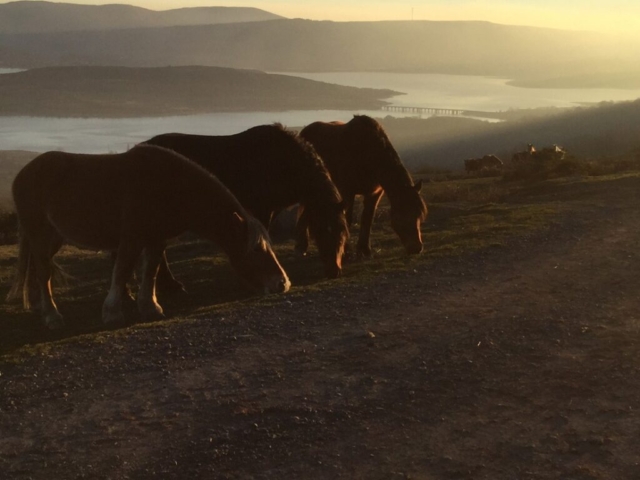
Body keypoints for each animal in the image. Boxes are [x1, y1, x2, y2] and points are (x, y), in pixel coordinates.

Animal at [4, 144, 290, 328]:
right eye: (256, 249)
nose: (283, 283)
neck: (168, 185)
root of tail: (22, 175)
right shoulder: (132, 238)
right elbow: (121, 271)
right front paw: (112, 313)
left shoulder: (155, 240)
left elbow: (150, 271)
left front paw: (150, 307)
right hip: (40, 235)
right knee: (44, 272)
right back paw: (52, 316)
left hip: (53, 238)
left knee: (39, 269)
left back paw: (41, 306)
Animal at [144, 123, 350, 282]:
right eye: (321, 232)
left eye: (342, 232)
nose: (334, 271)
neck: (283, 161)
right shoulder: (262, 209)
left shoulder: (273, 209)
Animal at [298, 115, 428, 256]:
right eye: (404, 214)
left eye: (419, 215)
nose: (416, 248)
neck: (366, 152)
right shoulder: (348, 192)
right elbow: (348, 219)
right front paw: (346, 250)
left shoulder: (374, 193)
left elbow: (367, 219)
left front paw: (364, 249)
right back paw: (301, 247)